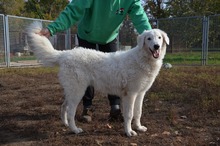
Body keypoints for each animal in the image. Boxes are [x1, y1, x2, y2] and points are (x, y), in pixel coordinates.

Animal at [26, 21, 169, 137]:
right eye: (149, 38)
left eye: (159, 38)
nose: (156, 46)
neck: (142, 59)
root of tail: (65, 54)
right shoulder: (130, 94)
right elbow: (129, 115)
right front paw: (129, 132)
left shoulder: (140, 94)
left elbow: (138, 112)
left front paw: (139, 127)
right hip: (78, 92)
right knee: (71, 112)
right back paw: (75, 129)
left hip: (71, 91)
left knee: (63, 106)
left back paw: (66, 124)